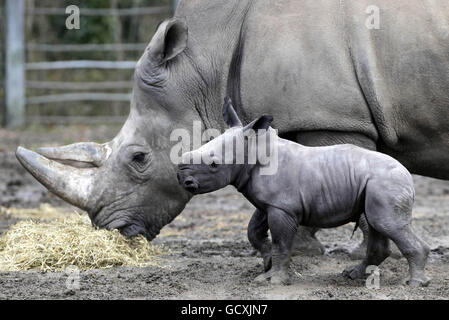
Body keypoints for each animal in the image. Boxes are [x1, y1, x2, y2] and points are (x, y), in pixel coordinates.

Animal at [177, 98, 428, 288]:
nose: (182, 178)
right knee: (377, 225)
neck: (255, 149)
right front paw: (266, 263)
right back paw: (352, 275)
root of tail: (408, 176)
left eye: (214, 165)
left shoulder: (282, 207)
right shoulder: (271, 203)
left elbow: (281, 243)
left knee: (387, 224)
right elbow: (254, 231)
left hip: (386, 183)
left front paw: (274, 280)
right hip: (377, 184)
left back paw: (413, 284)